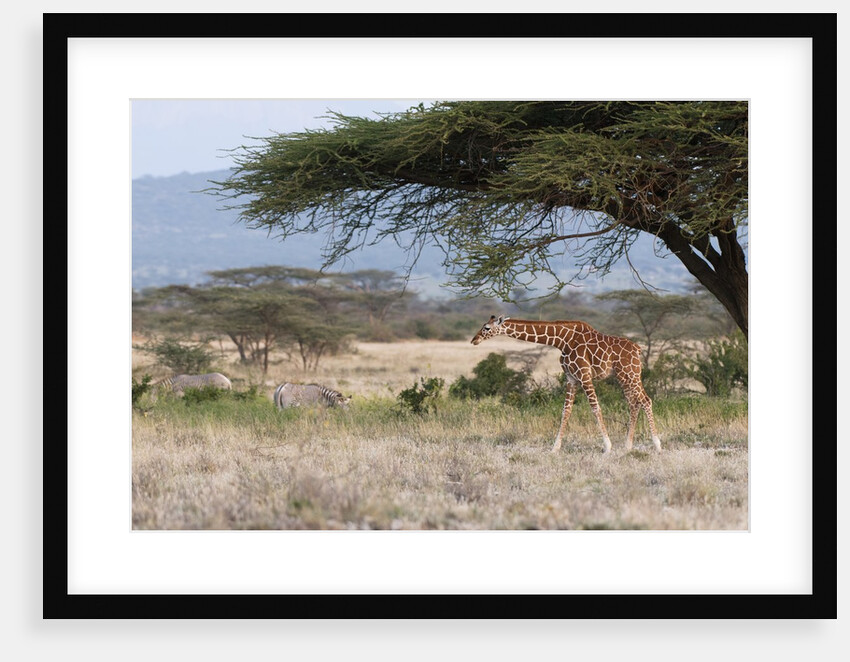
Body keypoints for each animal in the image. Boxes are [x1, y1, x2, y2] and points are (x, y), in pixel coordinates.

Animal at [470, 315, 661, 454]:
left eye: (486, 328)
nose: (474, 340)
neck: (562, 340)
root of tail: (638, 349)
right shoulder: (571, 378)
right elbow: (566, 411)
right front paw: (555, 448)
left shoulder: (584, 375)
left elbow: (595, 408)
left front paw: (607, 446)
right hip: (623, 377)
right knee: (634, 403)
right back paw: (628, 446)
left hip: (630, 374)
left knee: (645, 400)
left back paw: (657, 445)